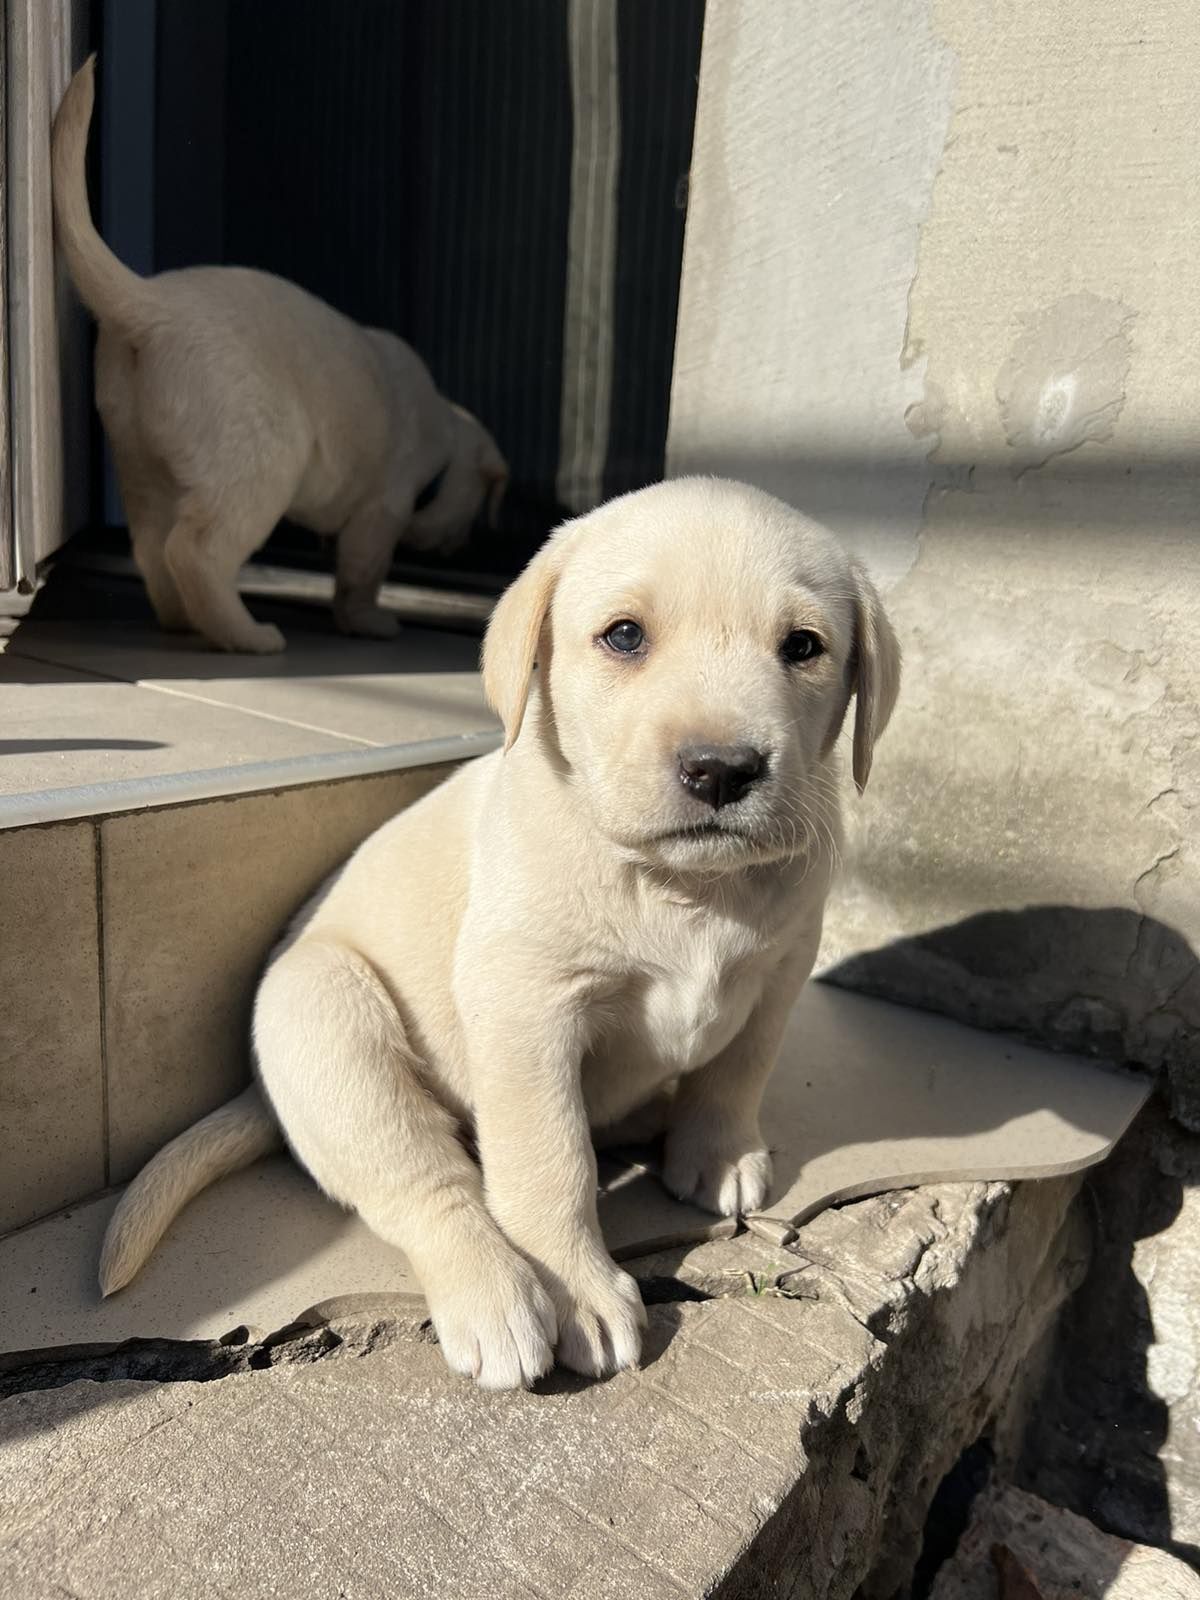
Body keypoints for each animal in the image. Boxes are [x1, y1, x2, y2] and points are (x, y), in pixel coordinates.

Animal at [51, 58, 508, 649]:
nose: (463, 546)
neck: (444, 432)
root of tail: (150, 304)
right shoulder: (380, 510)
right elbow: (361, 577)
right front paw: (371, 624)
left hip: (140, 463)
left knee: (152, 549)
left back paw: (183, 620)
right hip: (263, 462)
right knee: (195, 551)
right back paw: (247, 635)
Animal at [98, 473, 896, 1388]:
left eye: (803, 646)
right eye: (625, 636)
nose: (722, 769)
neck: (681, 888)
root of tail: (259, 1095)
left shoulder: (781, 970)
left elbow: (736, 1070)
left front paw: (718, 1151)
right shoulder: (527, 1008)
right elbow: (549, 1158)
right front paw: (577, 1288)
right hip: (324, 1011)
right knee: (428, 1184)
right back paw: (495, 1297)